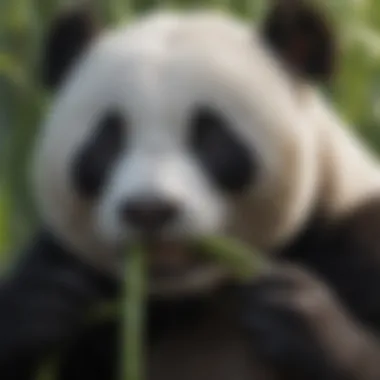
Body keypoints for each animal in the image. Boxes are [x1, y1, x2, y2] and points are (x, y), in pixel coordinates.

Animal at [2, 0, 380, 378]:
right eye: (108, 140)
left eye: (210, 136)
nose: (149, 210)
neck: (199, 296)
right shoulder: (69, 264)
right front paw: (40, 304)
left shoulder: (352, 233)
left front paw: (298, 314)